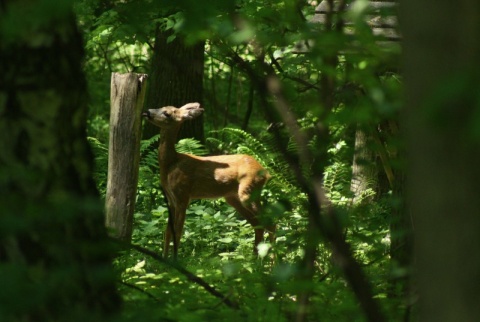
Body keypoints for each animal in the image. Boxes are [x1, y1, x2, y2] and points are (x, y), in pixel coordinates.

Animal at [142, 102, 276, 258]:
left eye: (167, 113)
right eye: (161, 107)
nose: (147, 112)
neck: (171, 164)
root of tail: (266, 172)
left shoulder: (183, 195)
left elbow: (178, 231)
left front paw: (175, 260)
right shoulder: (171, 199)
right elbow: (168, 231)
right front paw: (163, 259)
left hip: (248, 191)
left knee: (270, 223)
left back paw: (272, 261)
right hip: (233, 197)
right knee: (257, 224)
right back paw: (255, 260)